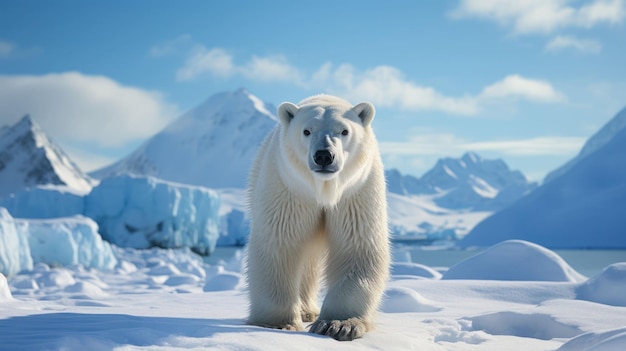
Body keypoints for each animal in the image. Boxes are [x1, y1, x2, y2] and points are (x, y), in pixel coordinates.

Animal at [245, 95, 388, 342]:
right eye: (306, 131)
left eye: (344, 130)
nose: (323, 155)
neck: (322, 189)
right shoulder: (289, 189)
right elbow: (279, 244)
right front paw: (277, 324)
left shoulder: (356, 191)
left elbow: (356, 247)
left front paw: (338, 324)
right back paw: (304, 311)